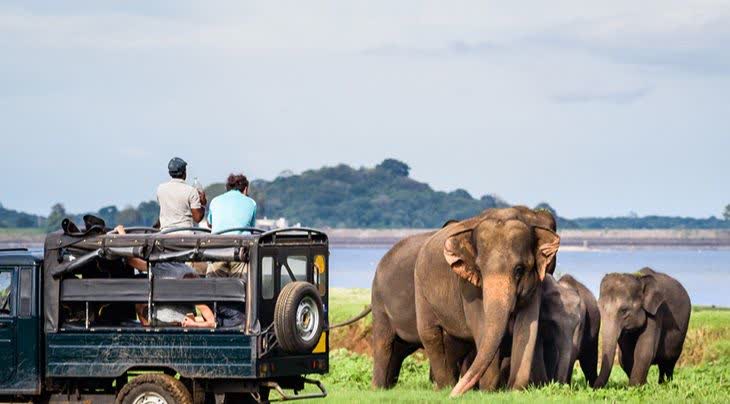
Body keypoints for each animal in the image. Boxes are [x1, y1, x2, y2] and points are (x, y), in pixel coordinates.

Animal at [372, 207, 556, 390]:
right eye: (479, 270)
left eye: (519, 269)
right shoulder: (468, 287)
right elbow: (481, 326)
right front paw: (488, 390)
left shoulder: (535, 283)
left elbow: (527, 327)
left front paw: (514, 389)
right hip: (409, 293)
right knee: (418, 336)